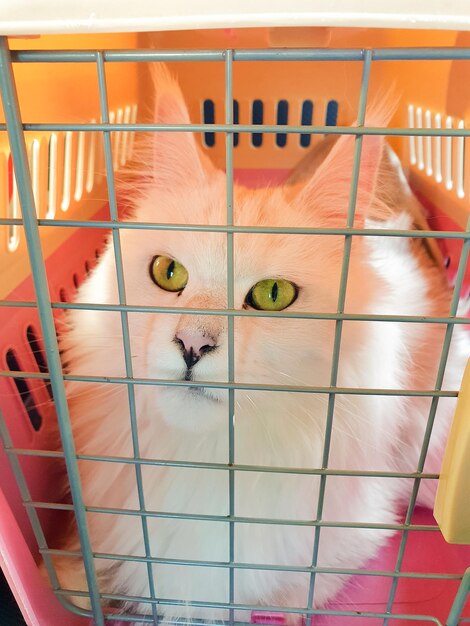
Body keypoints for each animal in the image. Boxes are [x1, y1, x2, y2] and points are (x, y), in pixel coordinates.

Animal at [49, 66, 468, 620]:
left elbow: (270, 600)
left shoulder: (341, 543)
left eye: (273, 295)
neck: (207, 462)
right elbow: (86, 573)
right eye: (168, 272)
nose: (191, 344)